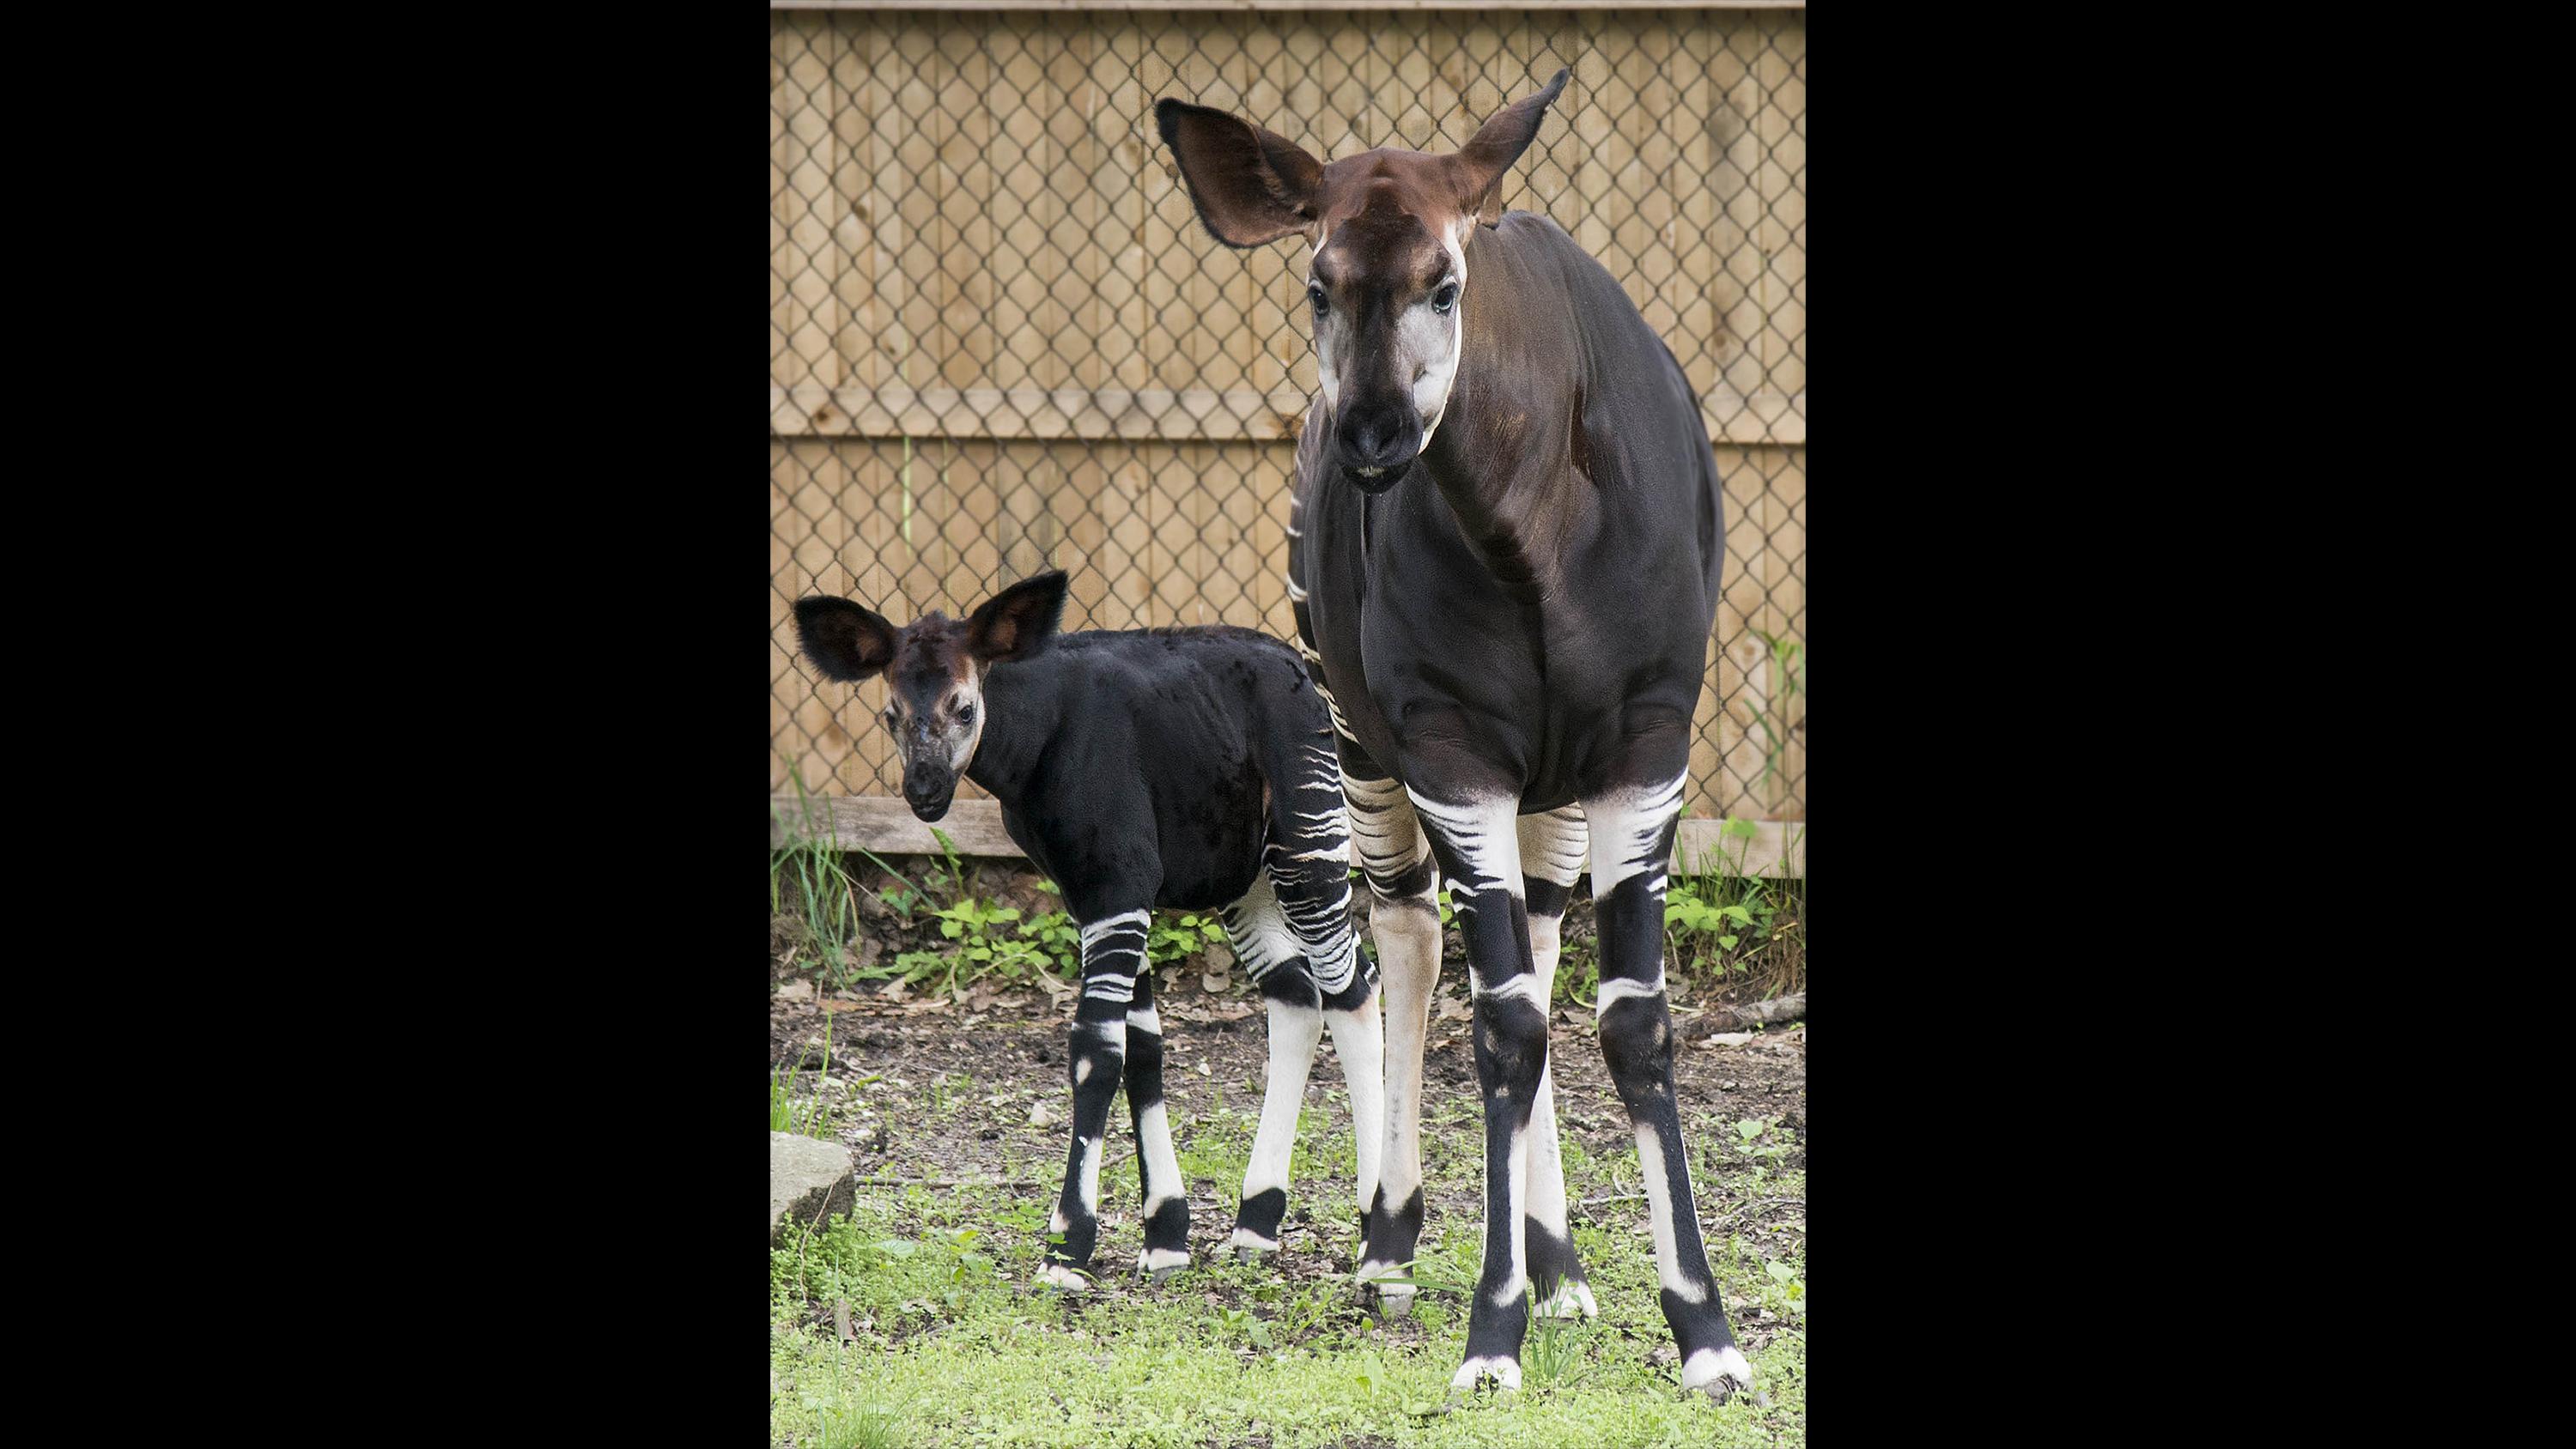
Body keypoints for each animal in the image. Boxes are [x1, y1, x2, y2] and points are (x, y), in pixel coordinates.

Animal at [793, 573, 1391, 1287]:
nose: (925, 790)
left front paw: (1067, 1245)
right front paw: (1165, 1237)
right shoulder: (1097, 896)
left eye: (965, 709)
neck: (1041, 736)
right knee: (1300, 996)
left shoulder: (1116, 884)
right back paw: (1256, 1222)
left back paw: (1379, 1235)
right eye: (890, 714)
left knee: (1353, 992)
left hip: (1308, 841)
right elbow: (1143, 1051)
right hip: (1242, 878)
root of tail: (1306, 668)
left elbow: (1095, 1051)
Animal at [1164, 73, 1752, 1400]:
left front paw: (1703, 1331)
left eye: (1446, 283)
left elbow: (1632, 1019)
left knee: (1529, 938)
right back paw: (1391, 1238)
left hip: (1552, 788)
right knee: (1409, 941)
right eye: (1317, 284)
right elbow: (1500, 1027)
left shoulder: (1646, 747)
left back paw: (1564, 1259)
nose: (1374, 437)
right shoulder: (1449, 752)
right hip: (1359, 743)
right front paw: (1493, 1329)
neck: (1530, 531)